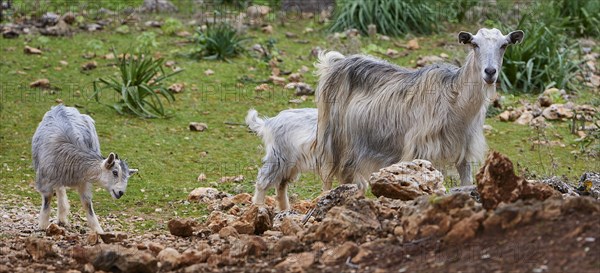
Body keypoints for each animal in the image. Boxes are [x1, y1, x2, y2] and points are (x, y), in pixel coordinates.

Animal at [32, 104, 138, 232]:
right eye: (115, 172)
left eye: (127, 177)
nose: (121, 192)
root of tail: (60, 106)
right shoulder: (45, 179)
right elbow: (47, 201)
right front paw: (42, 226)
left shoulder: (84, 182)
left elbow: (88, 205)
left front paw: (98, 231)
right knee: (59, 188)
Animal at [316, 28, 524, 188]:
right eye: (475, 44)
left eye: (504, 45)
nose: (490, 72)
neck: (455, 103)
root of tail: (334, 64)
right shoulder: (421, 151)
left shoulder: (464, 154)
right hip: (333, 141)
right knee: (330, 177)